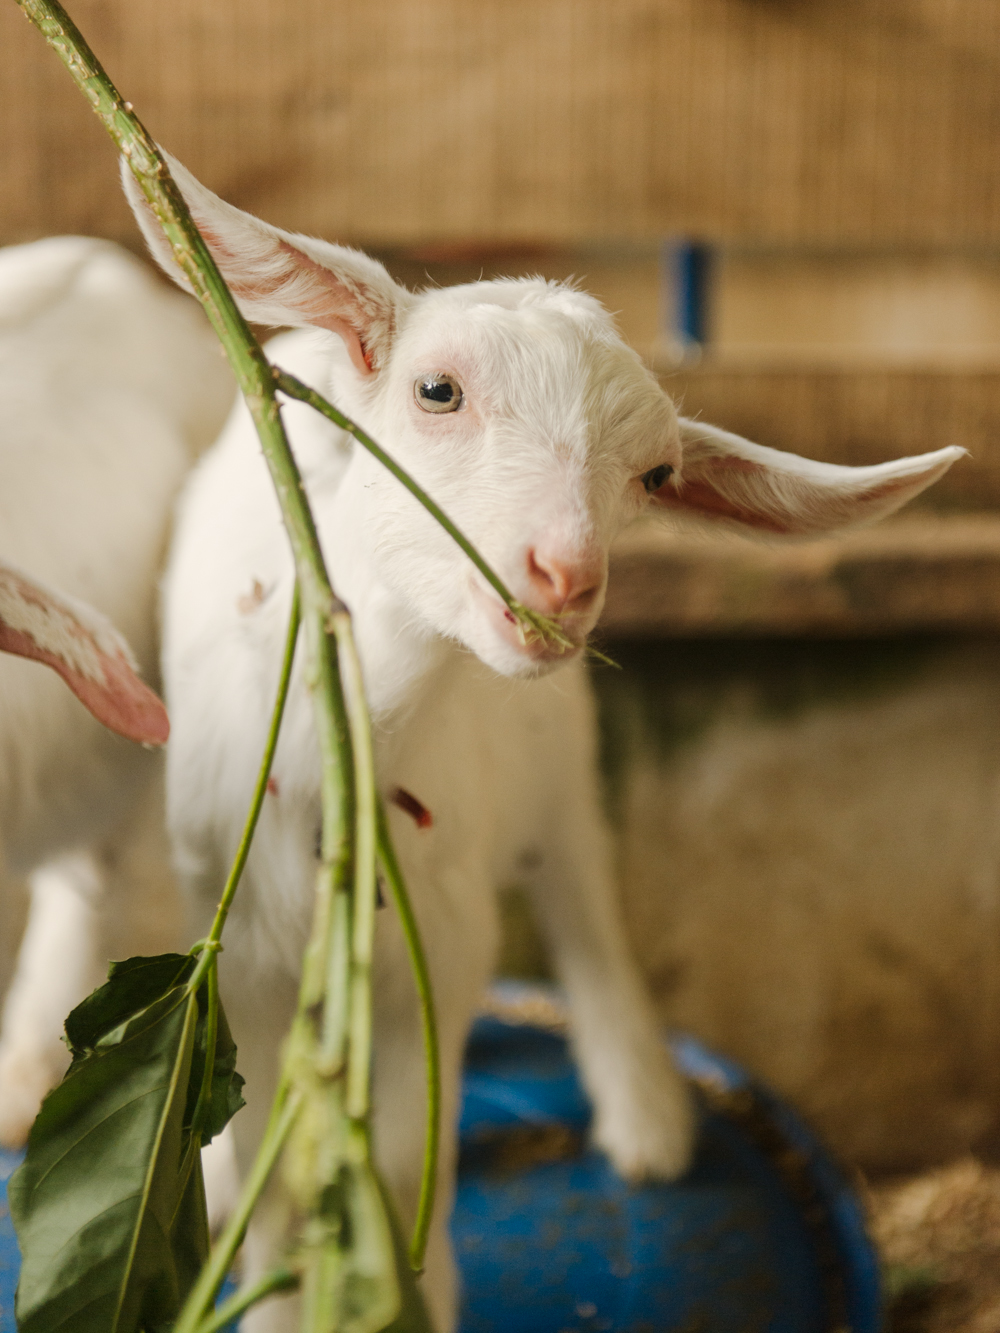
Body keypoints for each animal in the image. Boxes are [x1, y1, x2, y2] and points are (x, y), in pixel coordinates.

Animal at [124, 155, 962, 1331]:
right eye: (437, 391)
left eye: (655, 475)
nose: (564, 574)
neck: (350, 764)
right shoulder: (234, 949)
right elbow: (266, 1173)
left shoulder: (440, 944)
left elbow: (398, 1147)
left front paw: (407, 1283)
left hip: (559, 763)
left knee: (582, 895)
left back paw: (647, 1111)